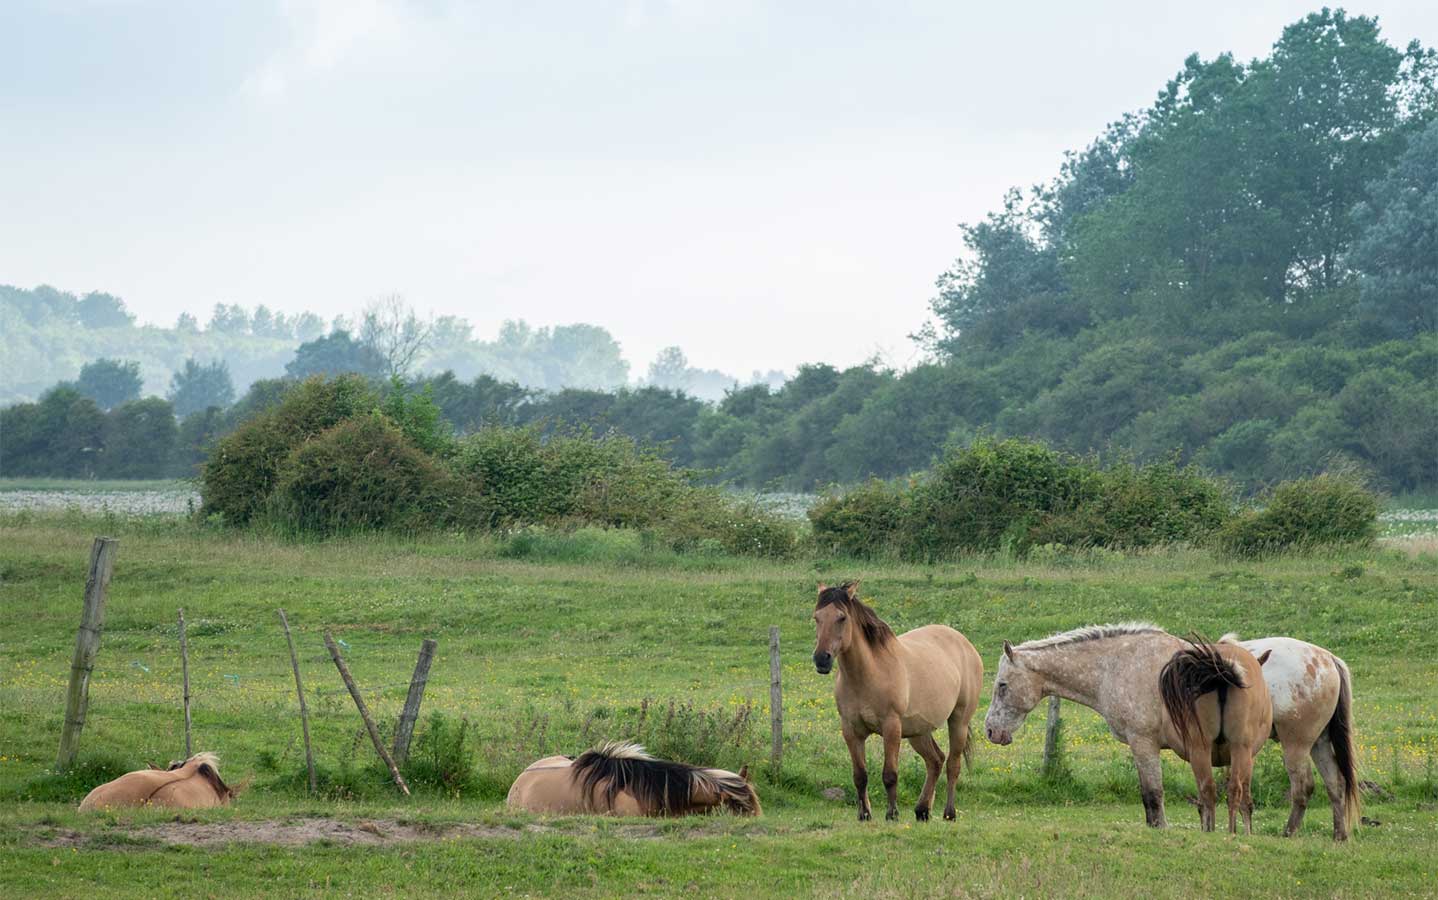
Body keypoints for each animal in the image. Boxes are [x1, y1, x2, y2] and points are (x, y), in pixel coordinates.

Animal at [816, 580, 983, 822]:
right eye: (816, 617)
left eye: (842, 617)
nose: (821, 659)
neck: (868, 674)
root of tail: (965, 644)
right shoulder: (850, 730)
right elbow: (859, 775)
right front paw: (864, 814)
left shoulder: (891, 726)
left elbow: (890, 774)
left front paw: (892, 814)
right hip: (919, 732)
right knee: (936, 760)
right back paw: (922, 810)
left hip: (958, 722)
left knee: (953, 764)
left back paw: (949, 813)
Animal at [983, 621, 1276, 828]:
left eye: (1002, 685)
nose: (990, 730)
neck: (1114, 664)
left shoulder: (1143, 743)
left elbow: (1153, 795)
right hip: (1242, 753)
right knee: (1241, 798)